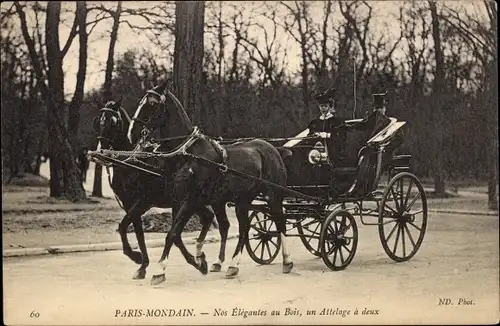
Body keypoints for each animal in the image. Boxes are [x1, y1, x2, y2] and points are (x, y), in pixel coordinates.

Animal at [93, 100, 230, 280]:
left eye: (114, 122)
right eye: (98, 121)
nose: (100, 151)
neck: (135, 162)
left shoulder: (143, 202)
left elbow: (124, 227)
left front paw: (137, 258)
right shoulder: (130, 204)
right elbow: (137, 232)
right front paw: (142, 265)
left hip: (208, 200)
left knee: (221, 224)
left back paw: (213, 261)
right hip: (192, 202)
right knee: (207, 218)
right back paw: (201, 258)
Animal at [127, 82, 294, 286]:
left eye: (152, 104)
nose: (132, 133)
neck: (188, 153)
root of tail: (274, 149)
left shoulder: (190, 201)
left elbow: (172, 234)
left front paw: (160, 270)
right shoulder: (178, 201)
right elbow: (177, 234)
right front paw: (199, 261)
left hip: (273, 196)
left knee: (279, 222)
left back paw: (286, 260)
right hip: (240, 201)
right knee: (243, 228)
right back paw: (231, 265)